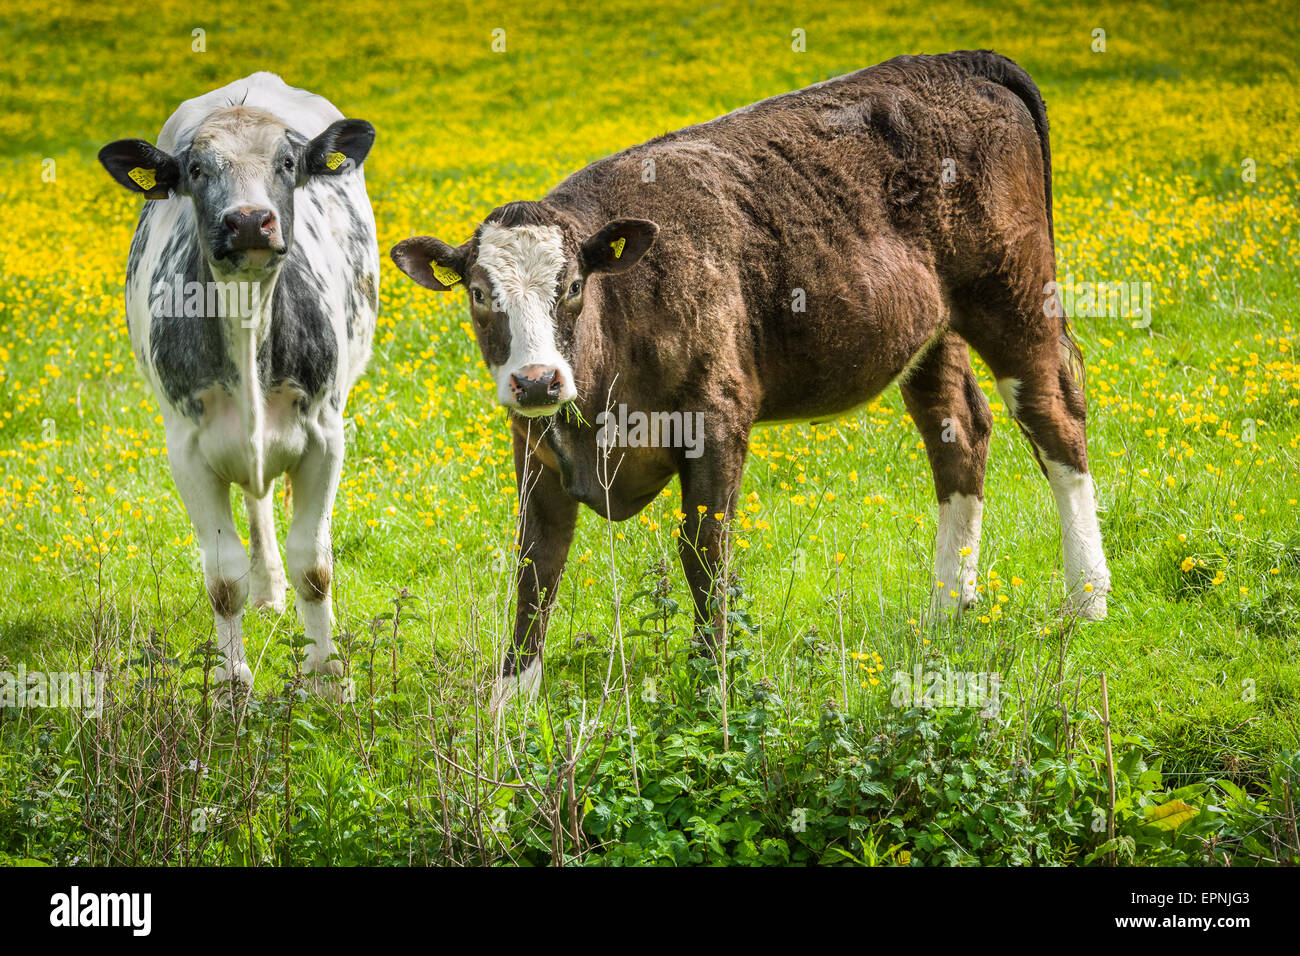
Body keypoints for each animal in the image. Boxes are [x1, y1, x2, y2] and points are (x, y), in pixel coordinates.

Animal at [390, 52, 1112, 712]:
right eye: (479, 295)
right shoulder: (536, 447)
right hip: (931, 331)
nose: (538, 381)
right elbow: (536, 563)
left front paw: (714, 680)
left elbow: (704, 552)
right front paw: (511, 703)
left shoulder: (716, 419)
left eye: (572, 287)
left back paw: (1086, 601)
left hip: (1014, 296)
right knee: (958, 431)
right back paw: (946, 609)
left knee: (1055, 420)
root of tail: (959, 61)